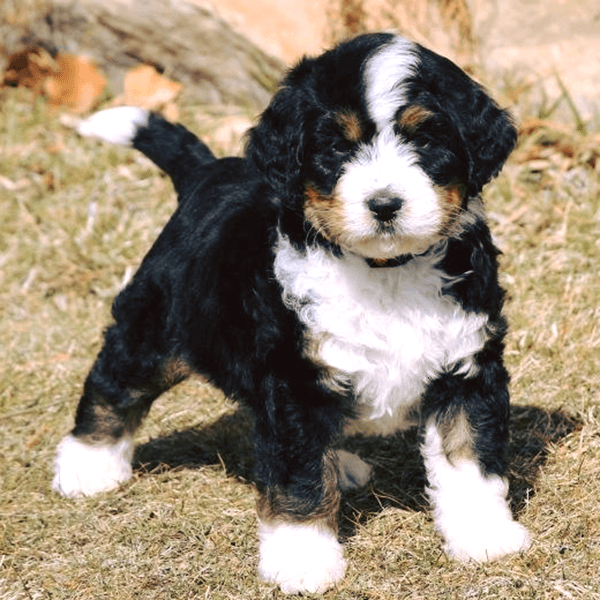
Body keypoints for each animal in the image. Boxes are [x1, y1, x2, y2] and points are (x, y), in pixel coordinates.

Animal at [51, 34, 528, 596]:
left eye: (426, 140)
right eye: (337, 147)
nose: (384, 204)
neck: (386, 271)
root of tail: (209, 173)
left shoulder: (466, 368)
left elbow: (470, 460)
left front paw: (483, 535)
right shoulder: (295, 381)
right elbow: (299, 479)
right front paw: (303, 561)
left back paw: (342, 465)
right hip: (159, 327)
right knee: (114, 381)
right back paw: (87, 465)